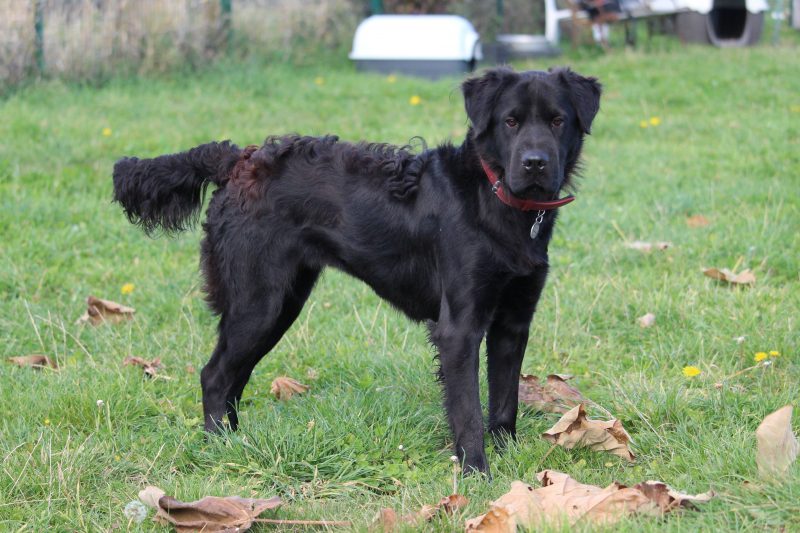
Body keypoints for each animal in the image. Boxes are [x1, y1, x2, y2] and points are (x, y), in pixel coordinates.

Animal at [112, 67, 600, 474]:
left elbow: (504, 402)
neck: (493, 197)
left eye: (558, 121)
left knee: (234, 375)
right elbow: (468, 412)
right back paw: (220, 447)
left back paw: (237, 441)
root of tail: (238, 160)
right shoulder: (459, 328)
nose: (535, 163)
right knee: (215, 375)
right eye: (510, 122)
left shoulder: (512, 323)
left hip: (281, 304)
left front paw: (509, 460)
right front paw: (476, 473)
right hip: (258, 303)